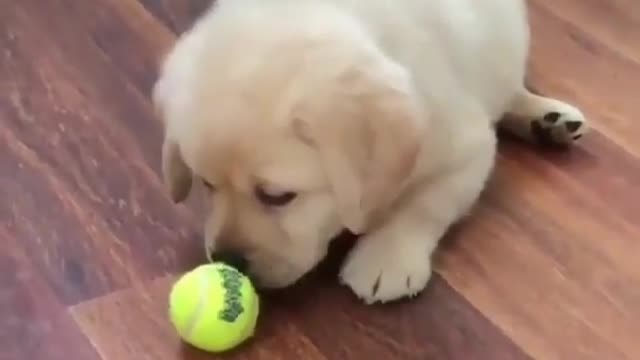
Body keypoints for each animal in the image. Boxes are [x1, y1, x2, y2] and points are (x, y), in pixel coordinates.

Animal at [152, 0, 588, 304]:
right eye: (206, 184)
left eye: (278, 196)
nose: (228, 261)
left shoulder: (465, 149)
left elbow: (424, 203)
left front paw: (386, 257)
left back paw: (547, 118)